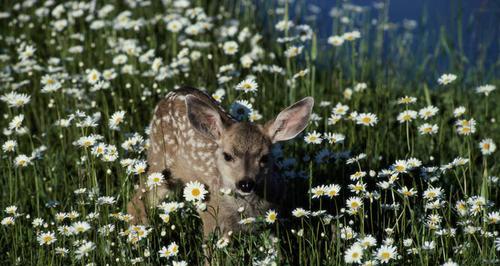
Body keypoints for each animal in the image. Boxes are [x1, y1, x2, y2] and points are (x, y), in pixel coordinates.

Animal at [127, 87, 314, 237]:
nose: (245, 183)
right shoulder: (212, 217)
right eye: (227, 155)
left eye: (265, 157)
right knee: (136, 200)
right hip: (158, 161)